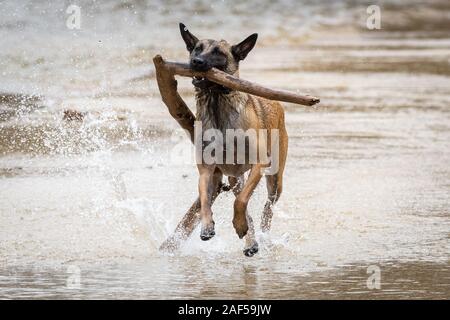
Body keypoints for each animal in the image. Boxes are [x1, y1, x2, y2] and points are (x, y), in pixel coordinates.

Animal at [161, 23, 288, 256]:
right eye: (197, 48)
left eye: (218, 52)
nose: (196, 62)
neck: (216, 101)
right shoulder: (206, 170)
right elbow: (205, 199)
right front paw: (207, 226)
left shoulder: (259, 163)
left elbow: (241, 202)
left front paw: (238, 225)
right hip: (235, 178)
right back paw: (251, 241)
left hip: (274, 179)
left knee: (267, 207)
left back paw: (261, 235)